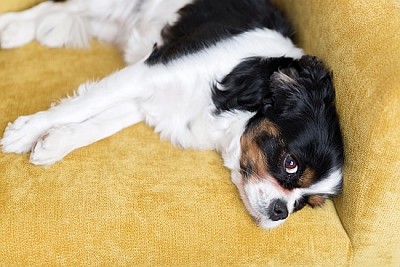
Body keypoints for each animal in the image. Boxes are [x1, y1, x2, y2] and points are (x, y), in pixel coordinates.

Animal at [0, 0, 344, 230]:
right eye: (290, 164)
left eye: (304, 204)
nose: (280, 211)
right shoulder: (151, 72)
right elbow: (83, 105)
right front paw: (26, 130)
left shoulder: (151, 100)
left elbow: (98, 123)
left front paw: (54, 143)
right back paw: (11, 27)